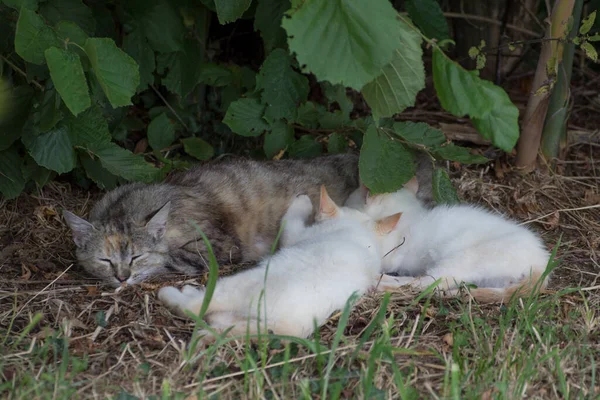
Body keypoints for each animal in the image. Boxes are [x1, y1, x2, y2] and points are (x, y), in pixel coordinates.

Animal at [158, 186, 404, 340]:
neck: (356, 232)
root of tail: (283, 323)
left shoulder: (294, 236)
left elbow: (289, 221)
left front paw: (303, 200)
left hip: (240, 284)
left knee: (196, 306)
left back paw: (174, 294)